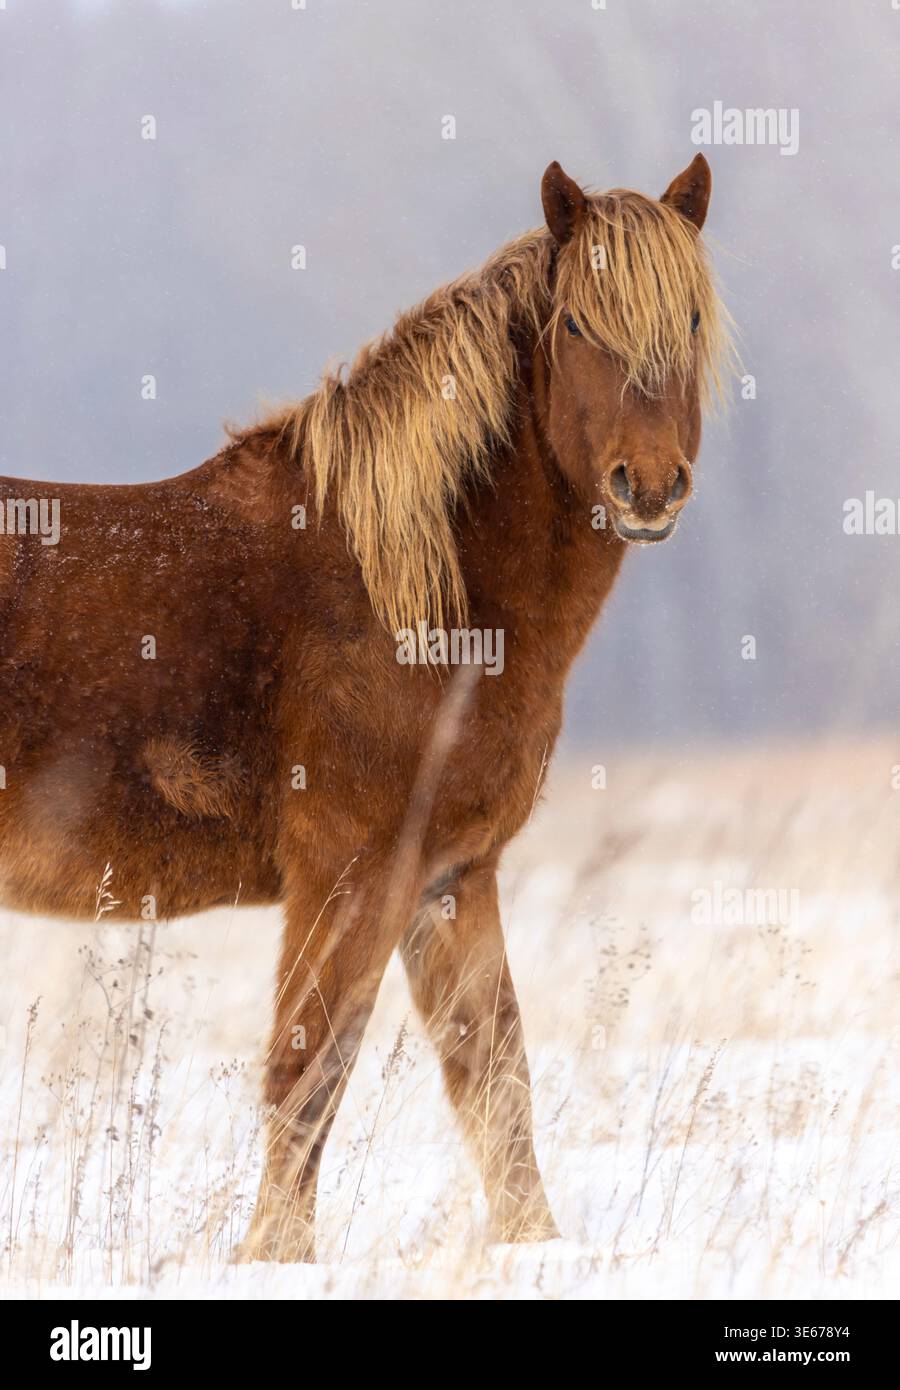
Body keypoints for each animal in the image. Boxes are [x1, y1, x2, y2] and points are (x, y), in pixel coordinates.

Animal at [0, 155, 729, 1260]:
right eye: (574, 324)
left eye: (689, 316)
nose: (648, 487)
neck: (417, 592)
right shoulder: (350, 875)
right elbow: (308, 1079)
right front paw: (275, 1259)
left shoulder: (451, 881)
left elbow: (497, 1085)